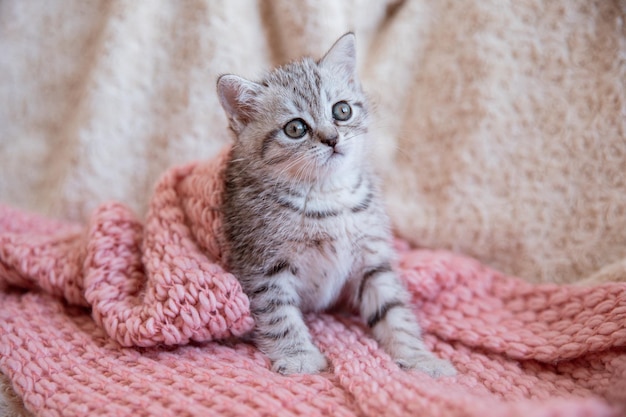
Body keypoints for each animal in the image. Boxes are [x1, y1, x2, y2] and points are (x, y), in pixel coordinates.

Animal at [214, 33, 454, 376]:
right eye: (295, 128)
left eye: (342, 111)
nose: (332, 138)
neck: (328, 195)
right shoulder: (261, 265)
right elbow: (279, 315)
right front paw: (299, 356)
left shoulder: (372, 257)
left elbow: (393, 310)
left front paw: (419, 357)